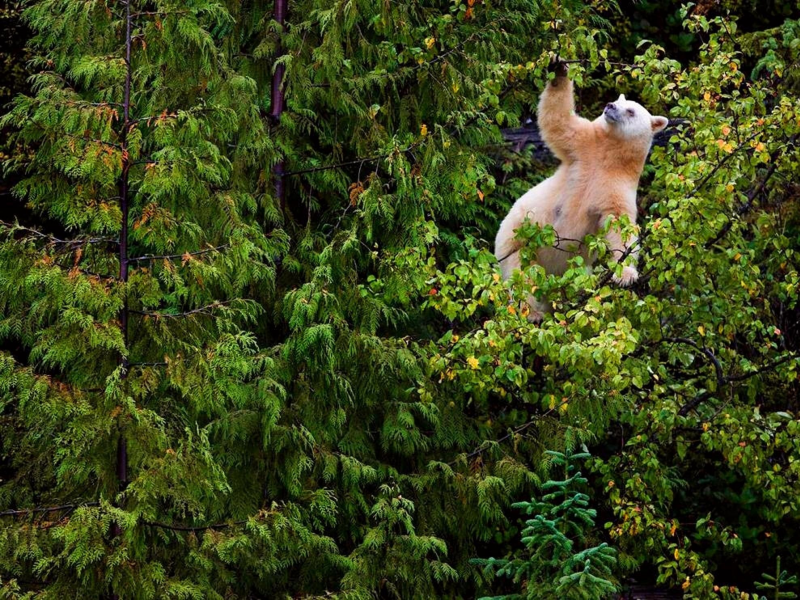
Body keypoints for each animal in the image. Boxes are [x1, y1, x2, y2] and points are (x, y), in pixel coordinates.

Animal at [494, 62, 668, 322]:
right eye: (618, 100)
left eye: (631, 111)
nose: (610, 106)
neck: (608, 156)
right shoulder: (583, 147)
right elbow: (559, 123)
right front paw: (559, 70)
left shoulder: (618, 187)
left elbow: (620, 225)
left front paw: (625, 275)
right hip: (515, 242)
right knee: (522, 275)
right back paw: (533, 313)